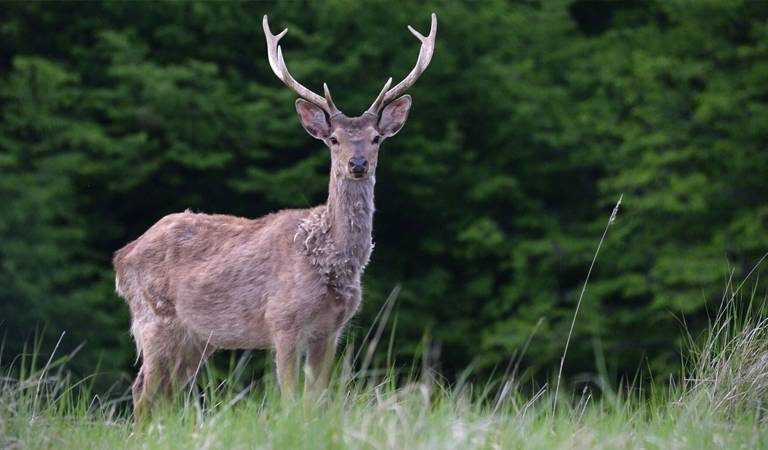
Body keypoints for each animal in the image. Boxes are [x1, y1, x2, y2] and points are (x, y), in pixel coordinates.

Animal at [113, 13, 437, 420]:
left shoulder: (331, 330)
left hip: (196, 338)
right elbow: (289, 398)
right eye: (334, 139)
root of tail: (121, 256)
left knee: (166, 394)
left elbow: (317, 399)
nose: (358, 164)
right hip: (153, 318)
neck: (329, 260)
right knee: (143, 390)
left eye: (376, 137)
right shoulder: (282, 320)